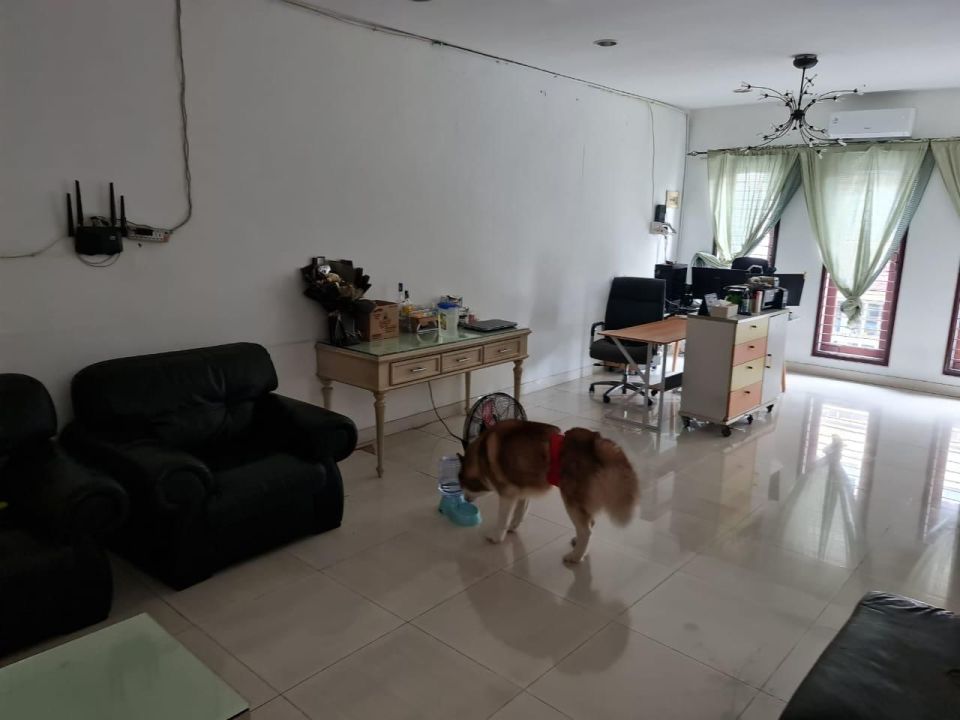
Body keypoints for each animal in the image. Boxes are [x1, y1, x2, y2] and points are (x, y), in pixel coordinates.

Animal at [458, 419, 639, 563]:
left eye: (463, 485)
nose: (465, 499)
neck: (480, 457)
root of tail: (597, 444)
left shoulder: (507, 494)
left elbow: (502, 519)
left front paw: (497, 537)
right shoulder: (522, 489)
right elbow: (520, 511)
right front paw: (513, 525)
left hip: (571, 501)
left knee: (586, 530)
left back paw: (575, 556)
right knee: (590, 524)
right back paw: (579, 545)